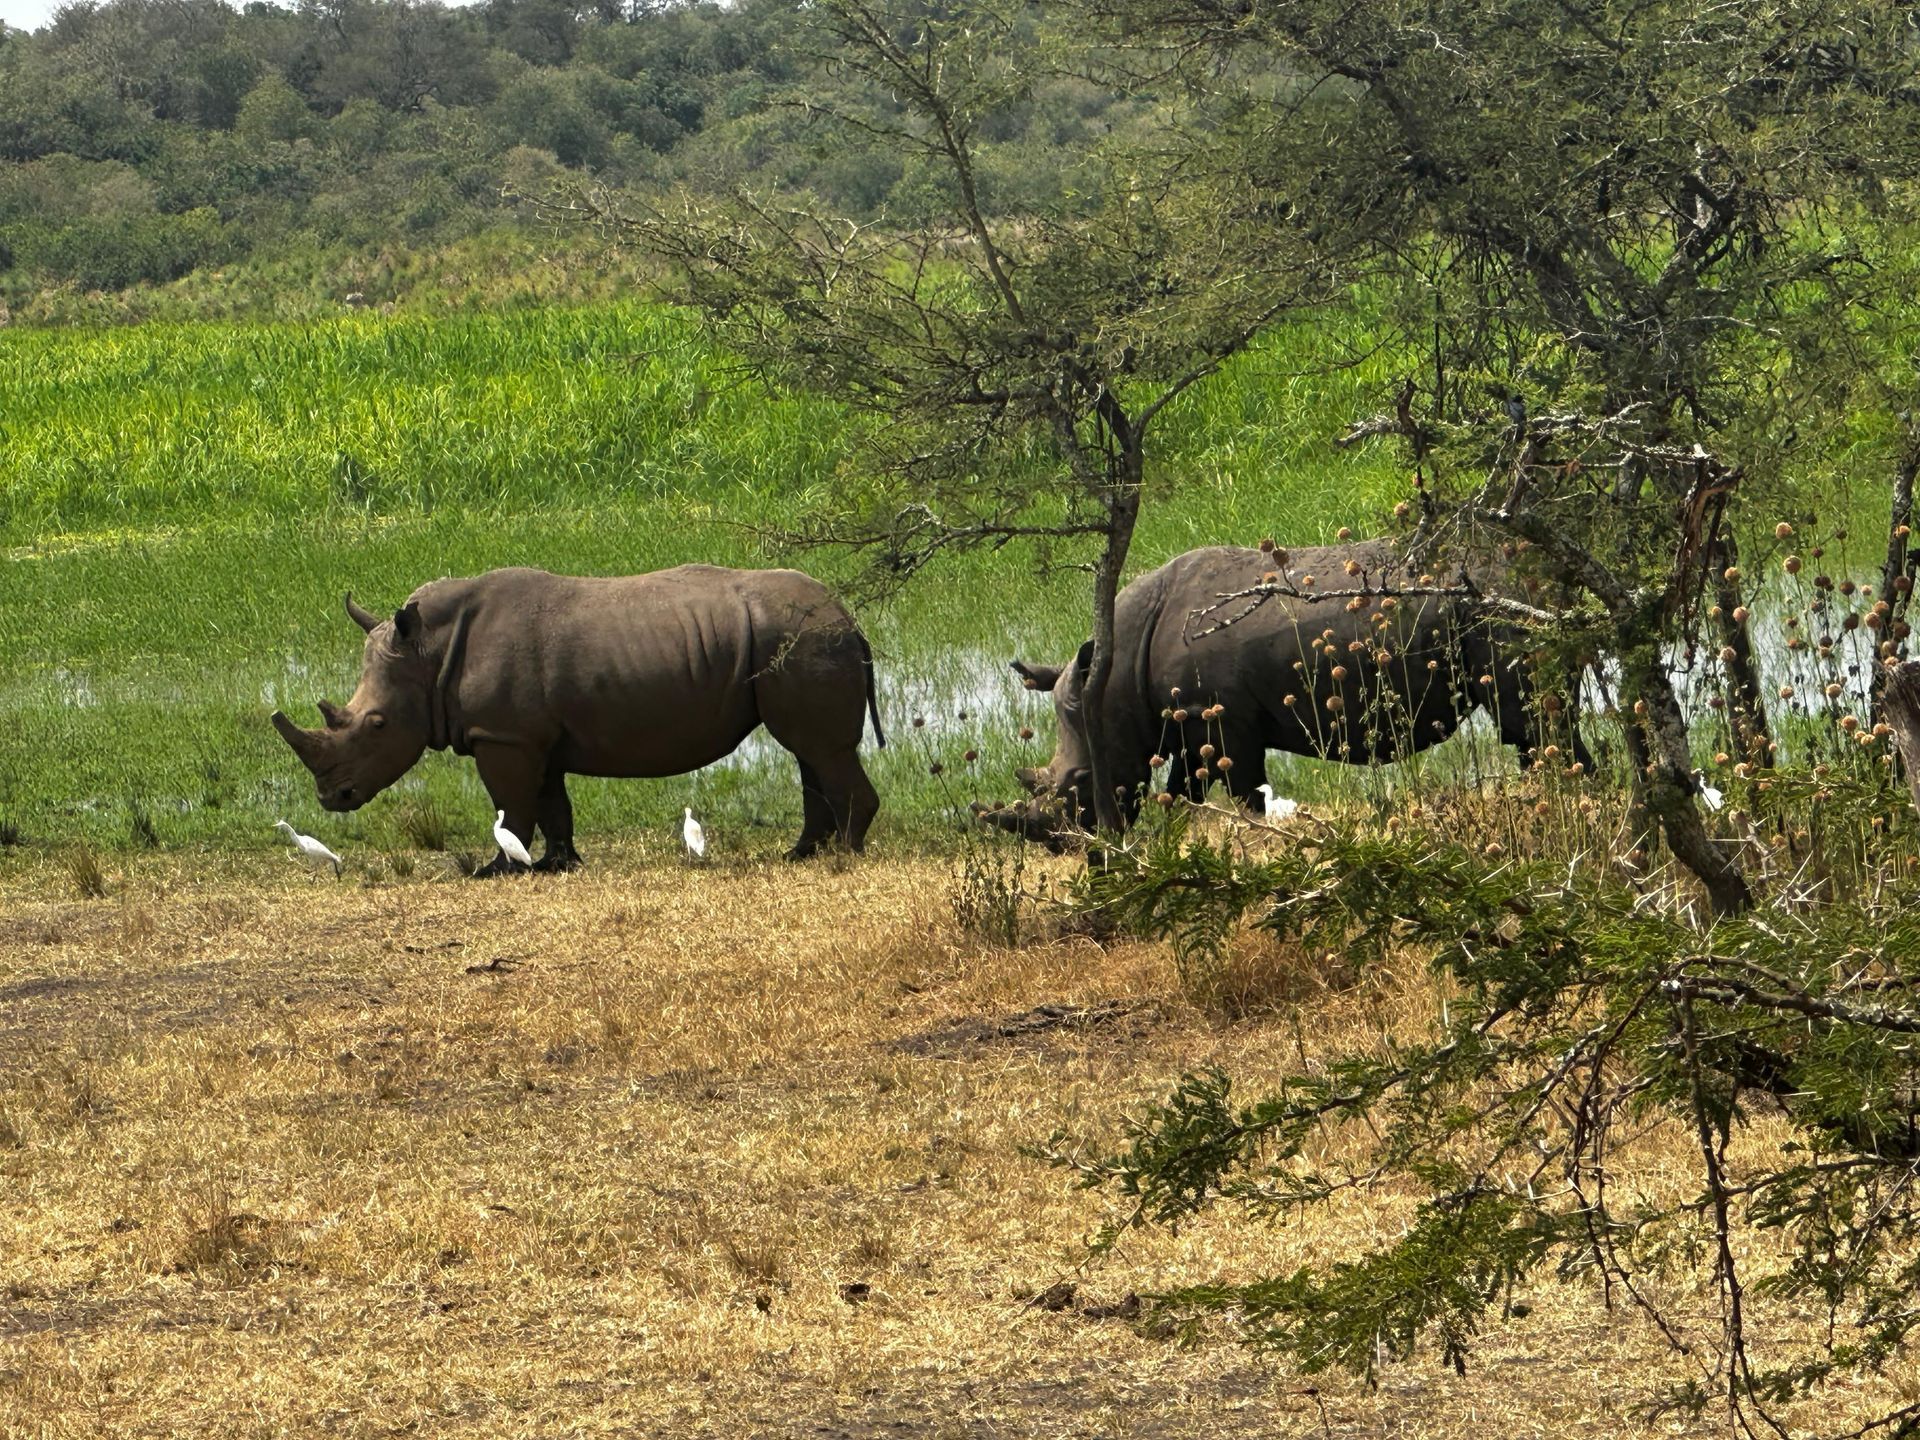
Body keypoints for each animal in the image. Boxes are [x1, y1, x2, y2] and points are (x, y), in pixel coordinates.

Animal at [271, 565, 883, 871]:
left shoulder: (504, 736)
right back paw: (799, 855)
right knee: (807, 751)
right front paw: (558, 863)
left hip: (804, 640)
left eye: (375, 725)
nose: (332, 798)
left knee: (818, 748)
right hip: (795, 639)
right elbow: (550, 802)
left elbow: (513, 804)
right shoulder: (529, 735)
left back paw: (844, 858)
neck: (427, 653)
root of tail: (851, 620)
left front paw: (498, 869)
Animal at [999, 542, 1590, 834]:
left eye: (1080, 783)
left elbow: (1246, 798)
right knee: (1545, 727)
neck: (1115, 674)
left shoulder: (1223, 724)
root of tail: (1551, 569)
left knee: (1532, 722)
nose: (1073, 846)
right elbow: (1182, 792)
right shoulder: (1191, 726)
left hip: (1504, 610)